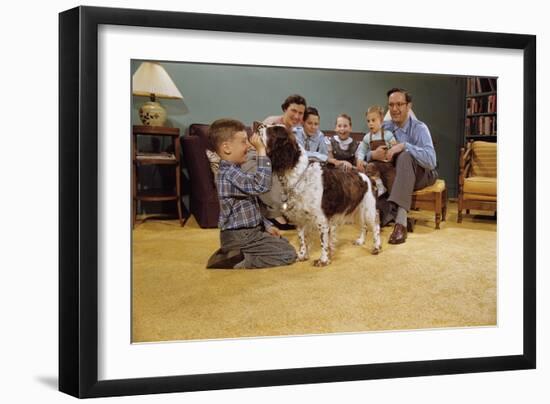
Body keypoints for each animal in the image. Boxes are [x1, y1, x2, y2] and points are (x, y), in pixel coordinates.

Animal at [264, 124, 384, 266]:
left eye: (273, 131)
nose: (257, 125)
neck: (299, 176)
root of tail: (369, 178)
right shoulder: (300, 218)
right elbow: (302, 239)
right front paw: (302, 255)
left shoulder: (321, 219)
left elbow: (323, 241)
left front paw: (323, 259)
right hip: (358, 210)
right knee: (364, 226)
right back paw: (361, 240)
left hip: (368, 209)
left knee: (375, 227)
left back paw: (376, 247)